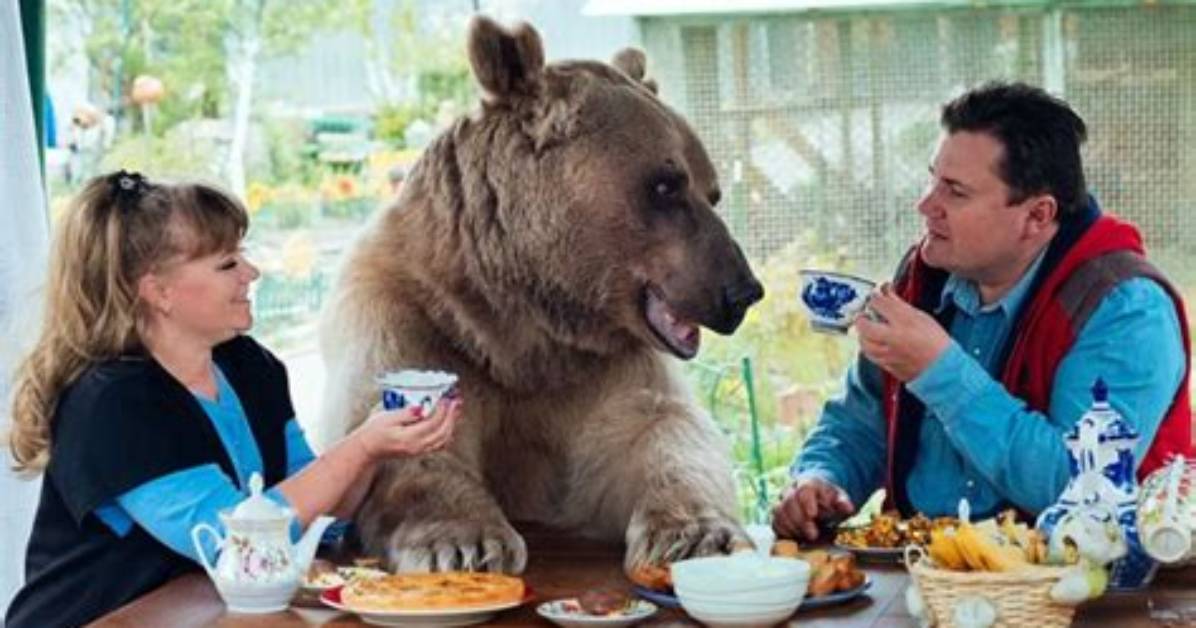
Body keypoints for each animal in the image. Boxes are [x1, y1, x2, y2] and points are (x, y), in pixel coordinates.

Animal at [317, 16, 765, 576]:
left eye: (712, 191)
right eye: (666, 185)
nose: (742, 290)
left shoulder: (601, 367)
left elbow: (659, 431)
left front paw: (698, 534)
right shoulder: (410, 316)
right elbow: (399, 433)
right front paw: (463, 543)